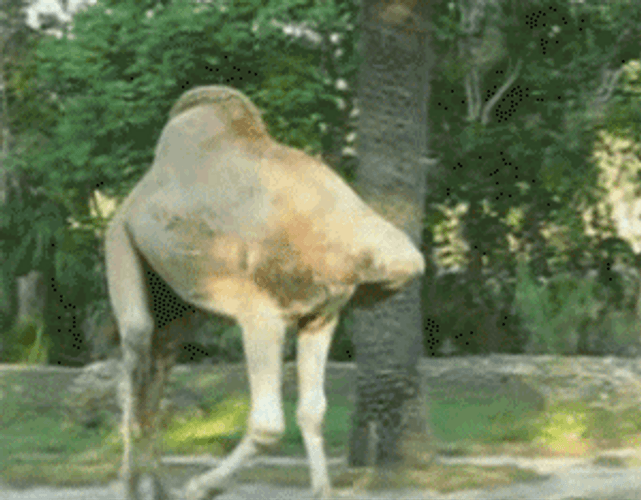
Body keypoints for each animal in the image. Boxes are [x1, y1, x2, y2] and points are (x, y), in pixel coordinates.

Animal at [105, 85, 425, 500]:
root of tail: (133, 199)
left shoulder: (320, 316)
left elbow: (313, 410)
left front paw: (323, 490)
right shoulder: (261, 315)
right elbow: (268, 425)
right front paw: (199, 486)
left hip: (177, 303)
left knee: (158, 369)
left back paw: (156, 486)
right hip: (119, 240)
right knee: (135, 354)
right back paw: (131, 484)